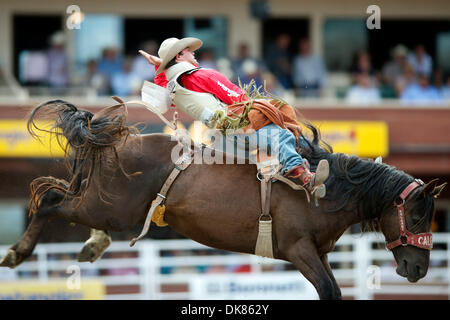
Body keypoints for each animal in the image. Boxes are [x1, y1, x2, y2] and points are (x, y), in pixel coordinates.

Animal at [0, 100, 444, 300]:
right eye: (417, 218)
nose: (419, 269)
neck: (327, 191)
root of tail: (113, 140)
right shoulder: (299, 249)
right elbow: (329, 291)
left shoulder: (319, 253)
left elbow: (333, 289)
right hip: (106, 206)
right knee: (51, 199)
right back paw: (17, 252)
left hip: (108, 207)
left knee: (67, 199)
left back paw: (92, 246)